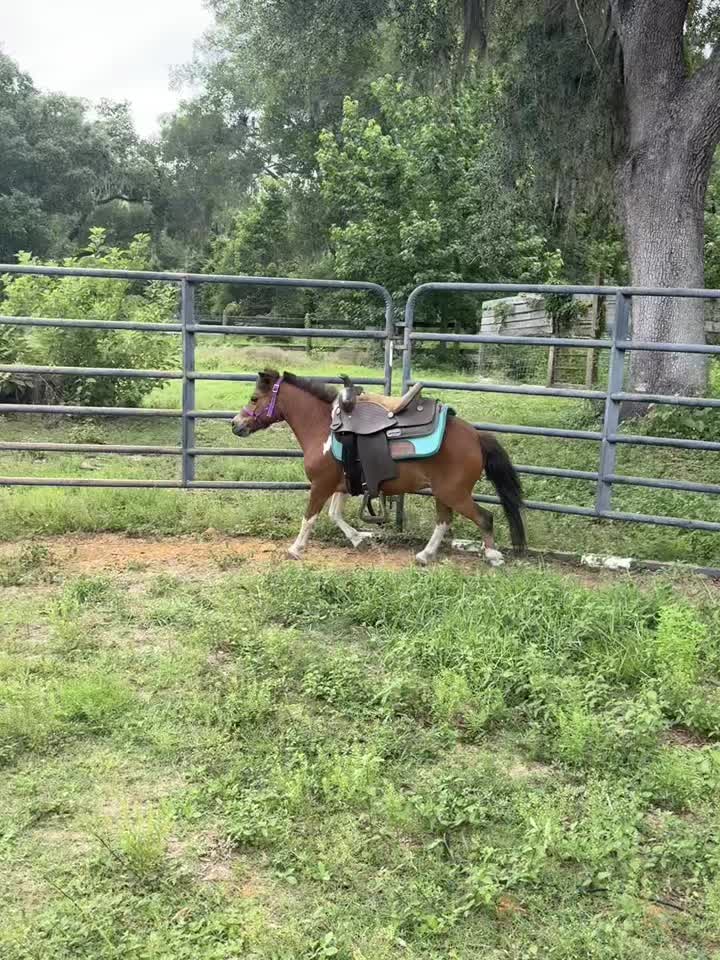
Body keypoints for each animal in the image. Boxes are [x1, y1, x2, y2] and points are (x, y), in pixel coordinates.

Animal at [231, 369, 526, 566]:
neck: (324, 428)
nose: (235, 424)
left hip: (454, 492)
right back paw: (425, 555)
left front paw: (295, 549)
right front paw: (358, 539)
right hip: (444, 493)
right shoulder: (341, 484)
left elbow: (310, 517)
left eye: (254, 398)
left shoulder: (321, 484)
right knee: (444, 521)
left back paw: (493, 556)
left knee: (484, 518)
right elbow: (335, 515)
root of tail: (476, 436)